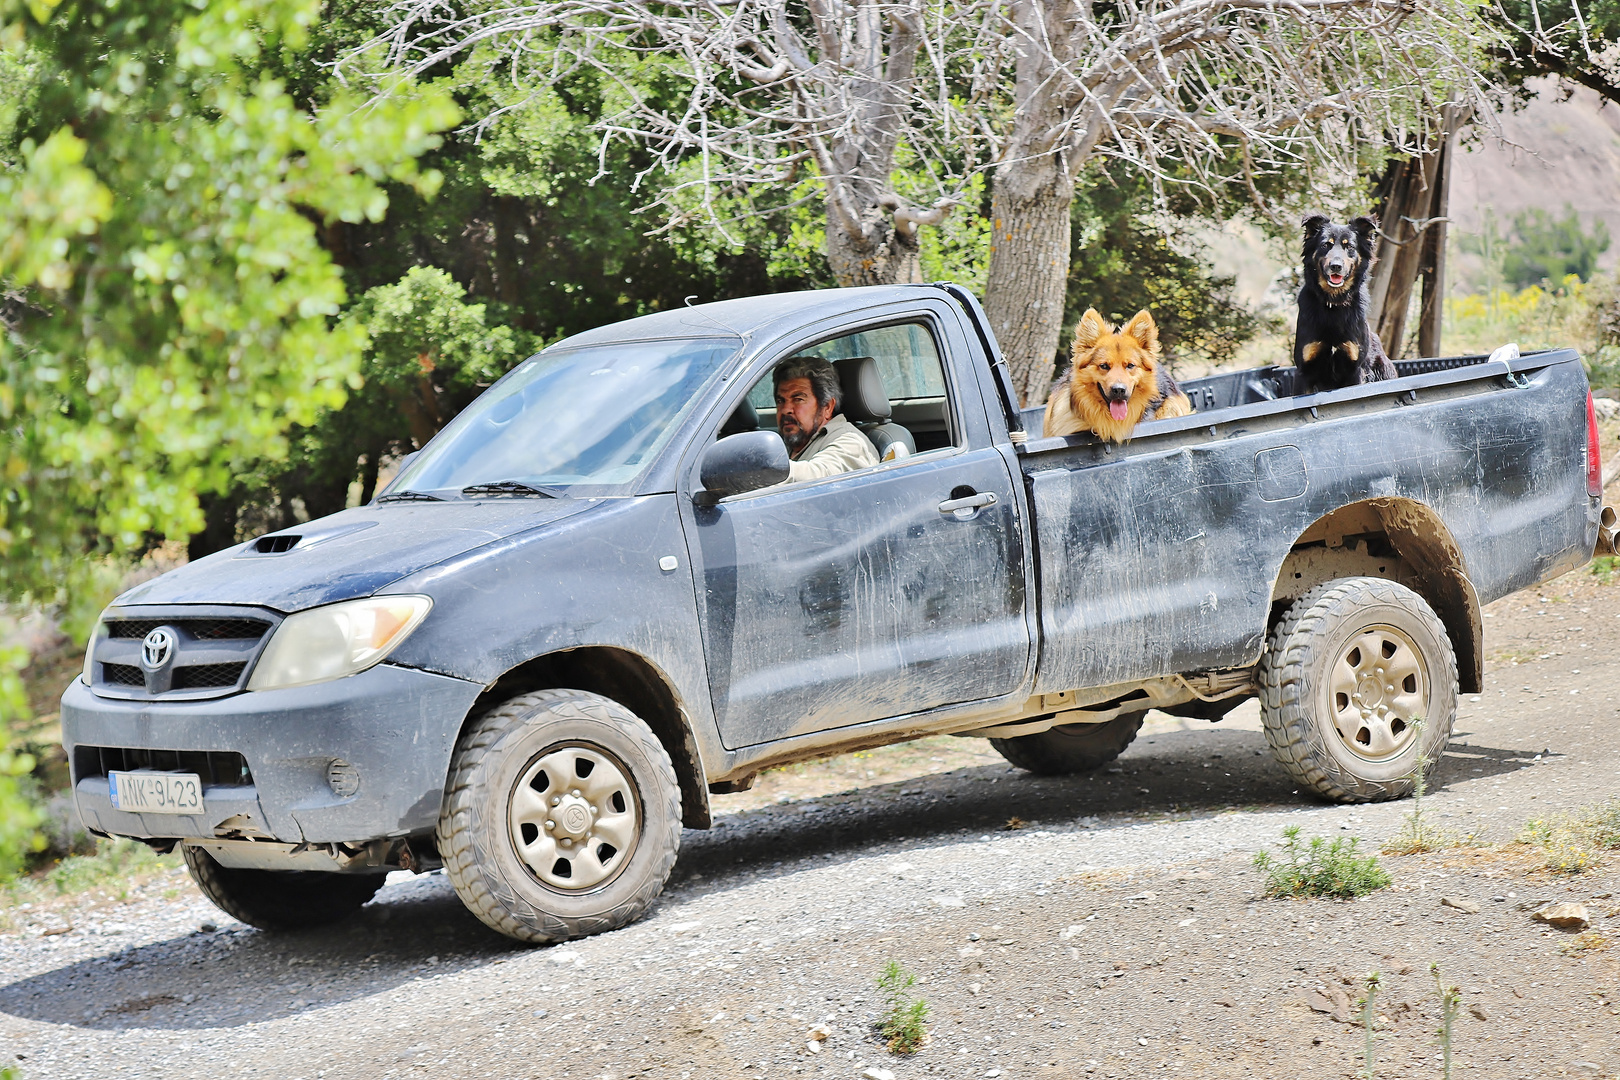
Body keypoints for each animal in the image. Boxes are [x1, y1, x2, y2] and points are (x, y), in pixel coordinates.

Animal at [1296, 213, 1399, 395]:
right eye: (1325, 245)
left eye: (1349, 246)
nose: (1336, 266)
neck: (1333, 303)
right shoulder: (1304, 369)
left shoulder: (1354, 368)